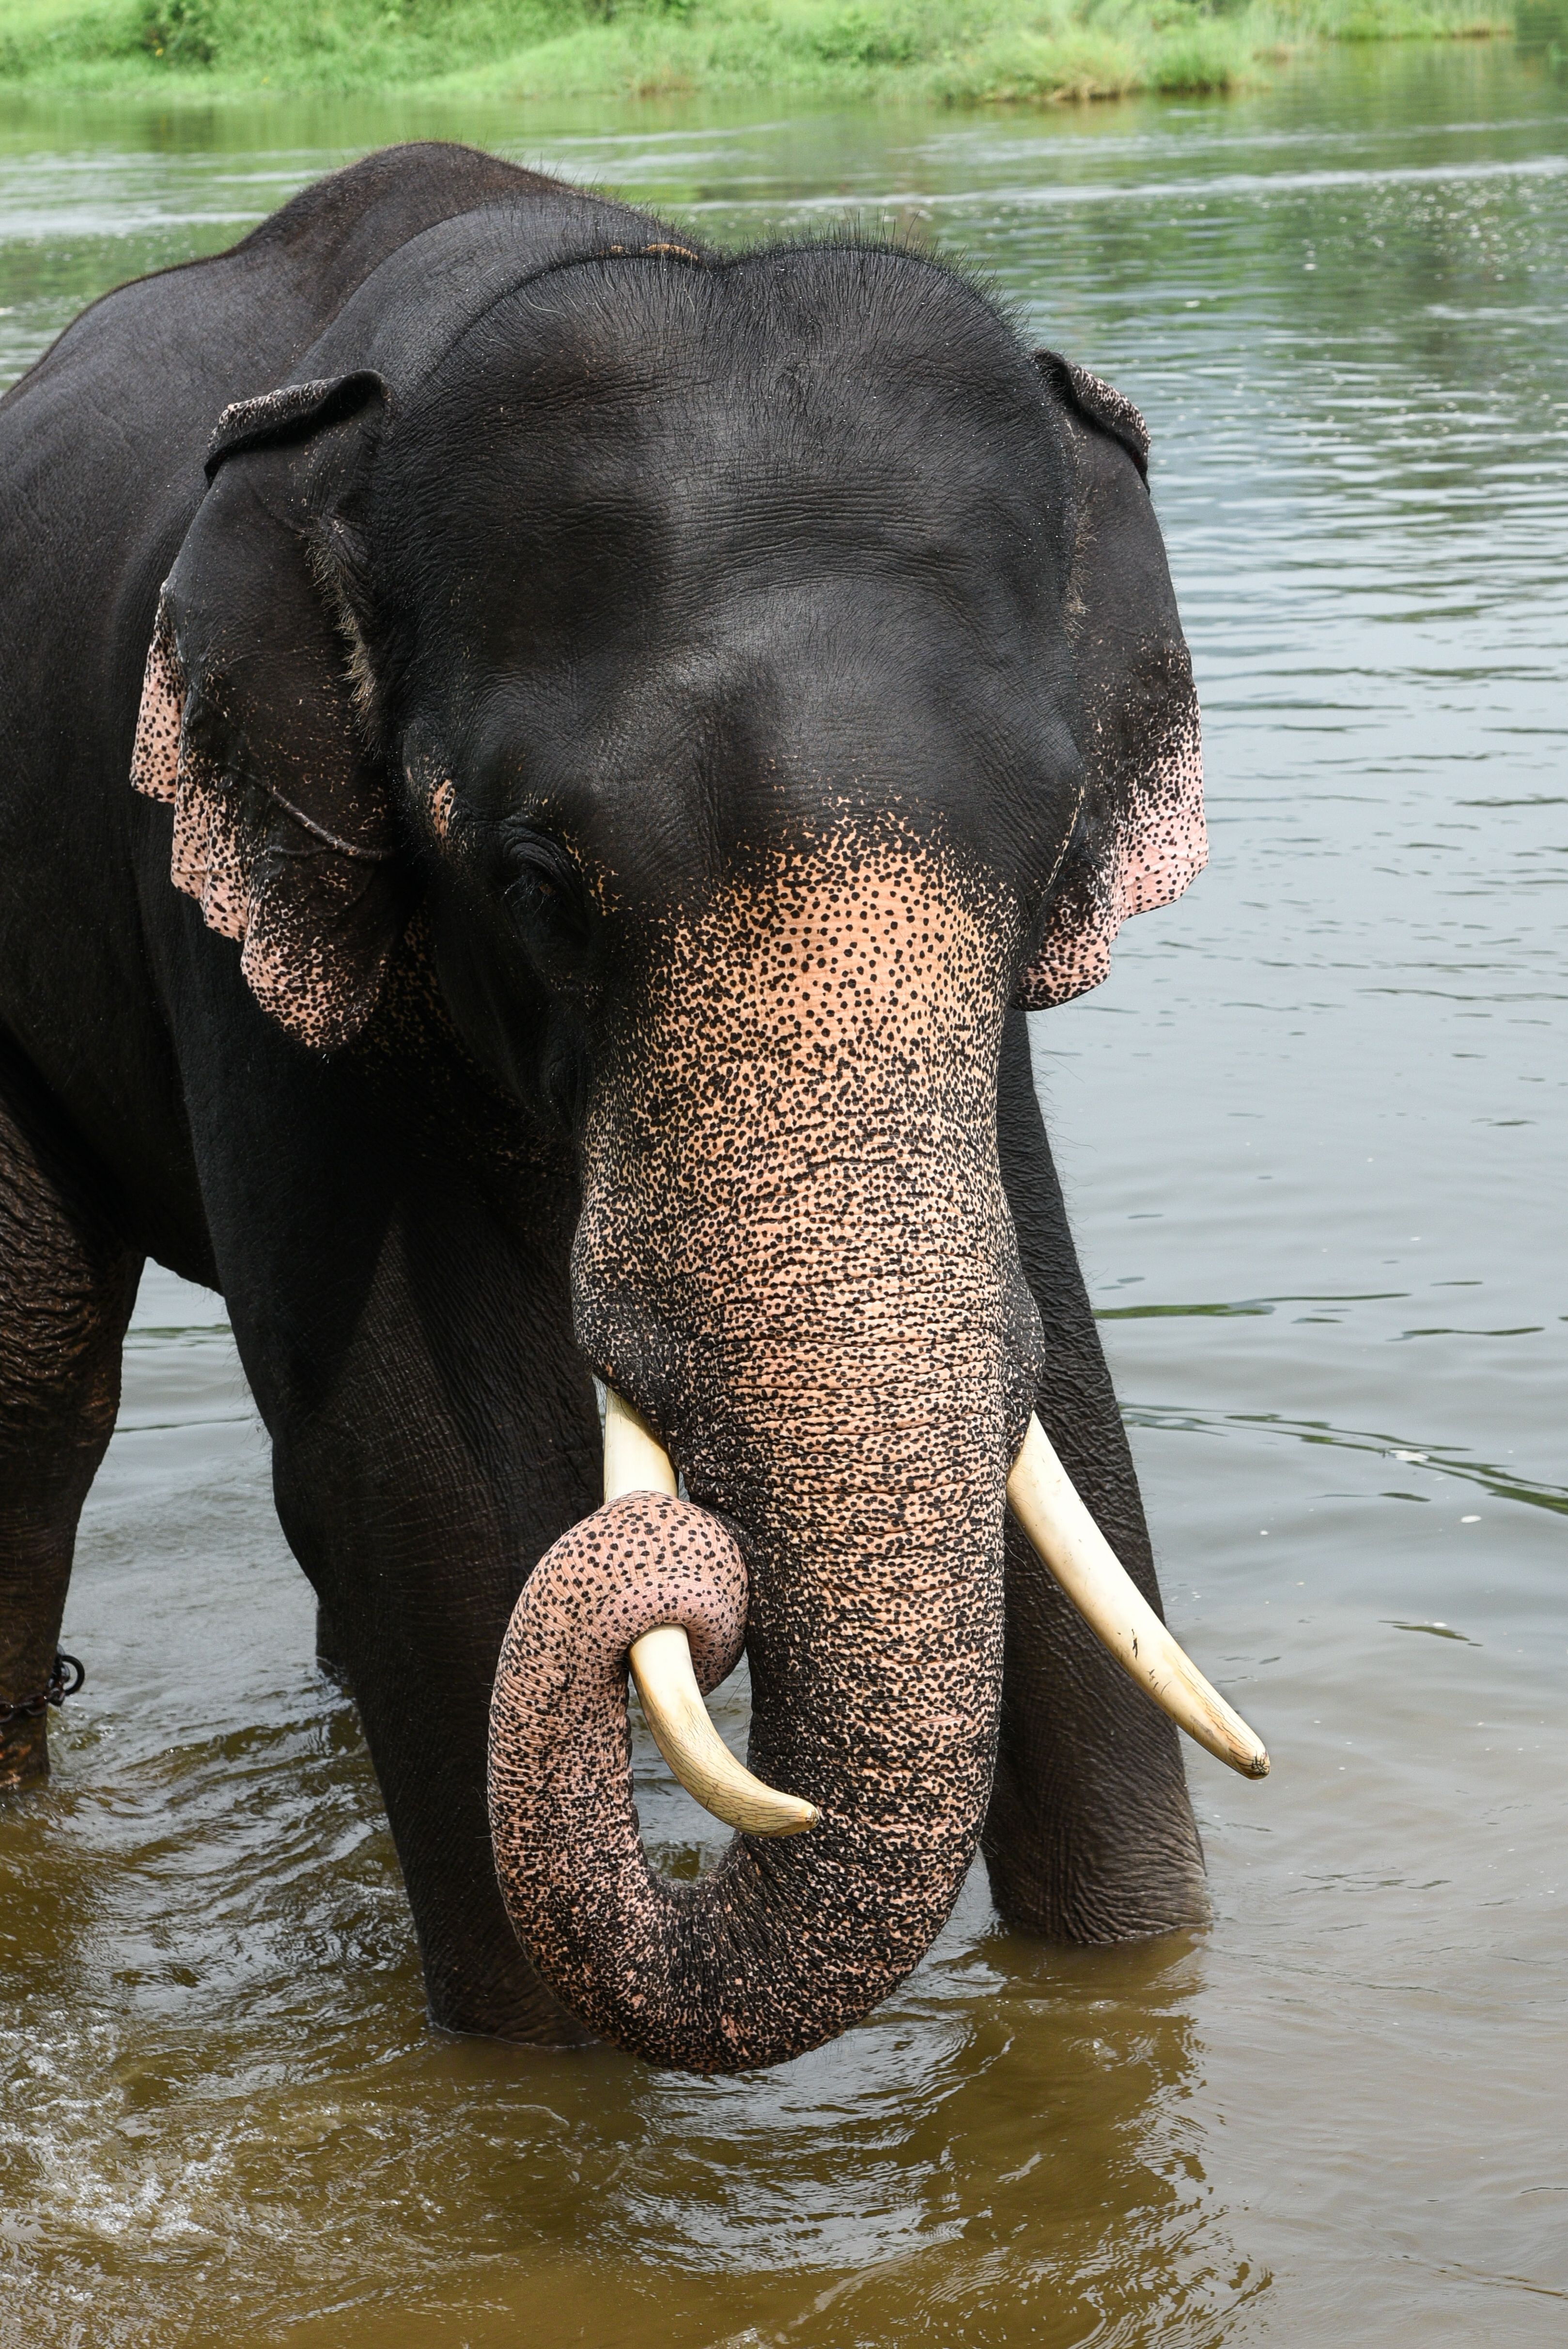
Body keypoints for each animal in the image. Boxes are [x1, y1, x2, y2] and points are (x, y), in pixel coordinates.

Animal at [0, 140, 1255, 2074]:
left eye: (1049, 848)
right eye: (532, 878)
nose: (695, 1576)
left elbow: (1074, 1443)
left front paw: (1126, 1974)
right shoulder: (247, 915)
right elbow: (411, 1489)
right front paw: (536, 2099)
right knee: (40, 1380)